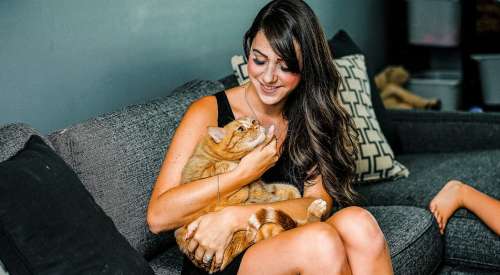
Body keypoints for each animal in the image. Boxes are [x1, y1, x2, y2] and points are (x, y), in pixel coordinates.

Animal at [174, 118, 326, 274]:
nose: (256, 124)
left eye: (252, 121)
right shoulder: (208, 184)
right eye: (241, 129)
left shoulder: (266, 187)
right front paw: (231, 166)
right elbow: (217, 167)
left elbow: (285, 189)